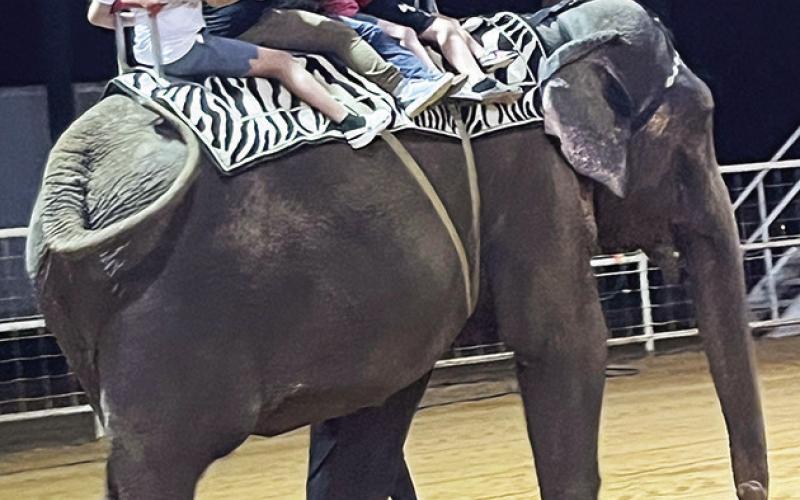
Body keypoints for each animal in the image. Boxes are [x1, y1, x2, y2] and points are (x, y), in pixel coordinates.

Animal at [26, 0, 767, 498]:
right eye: (698, 133)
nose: (749, 489)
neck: (545, 40)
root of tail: (71, 172)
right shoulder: (530, 178)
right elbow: (565, 343)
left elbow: (375, 415)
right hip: (165, 324)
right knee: (154, 463)